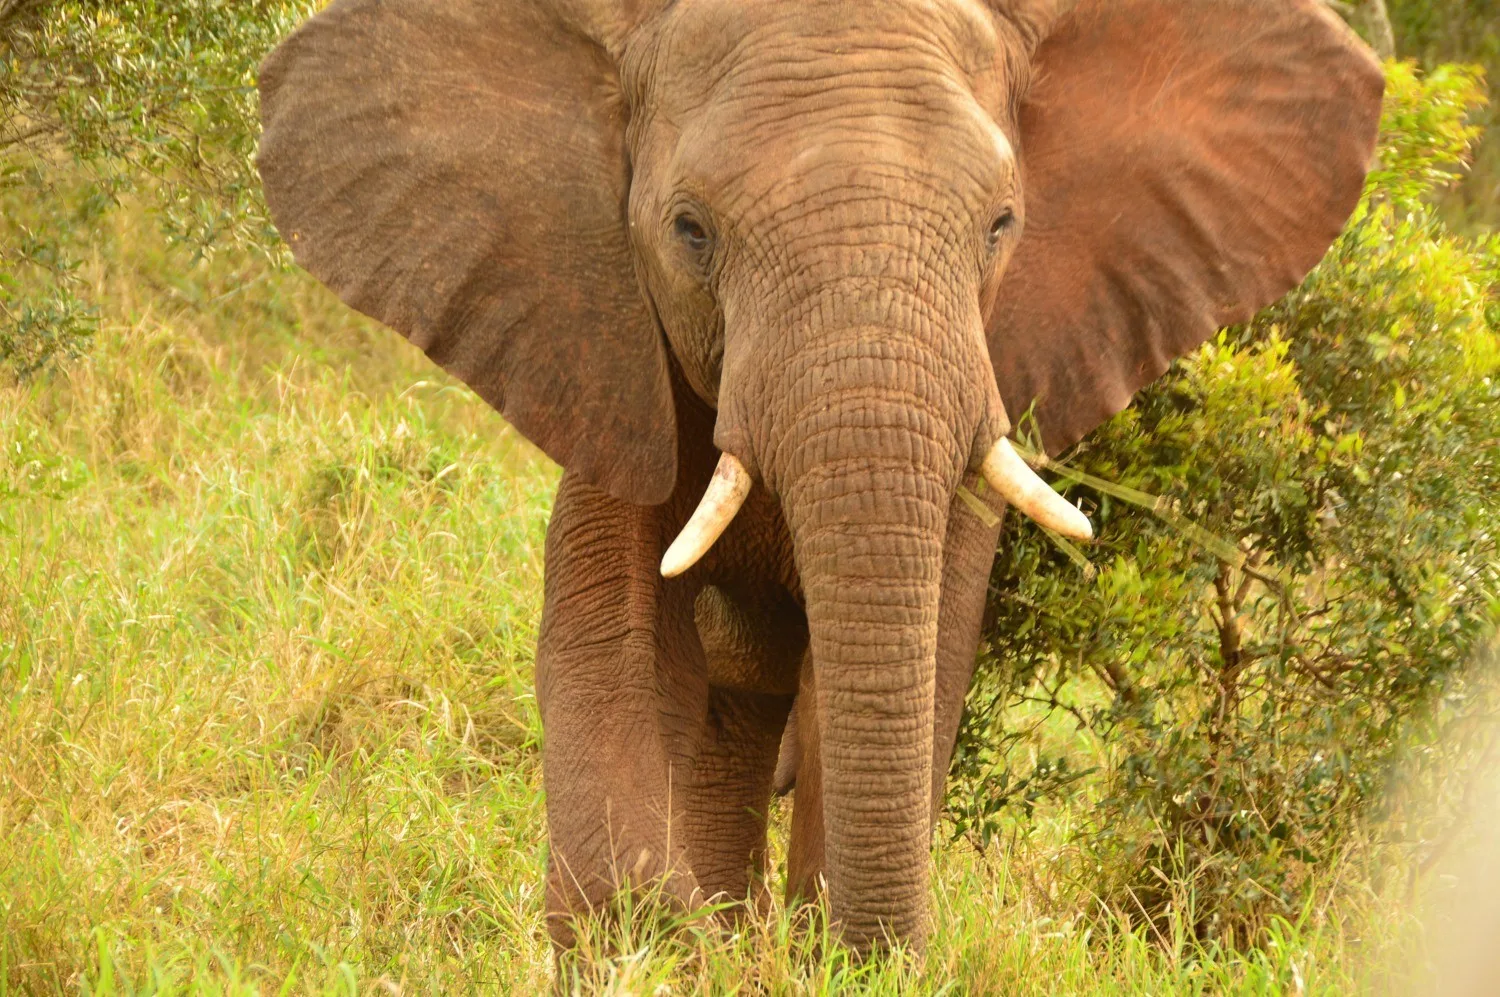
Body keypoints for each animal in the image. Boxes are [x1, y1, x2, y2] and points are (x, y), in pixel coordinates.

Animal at [255, 0, 1380, 953]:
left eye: (1002, 225)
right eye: (690, 232)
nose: (874, 948)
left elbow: (928, 641)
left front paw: (818, 946)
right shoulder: (604, 351)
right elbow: (609, 625)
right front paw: (651, 940)